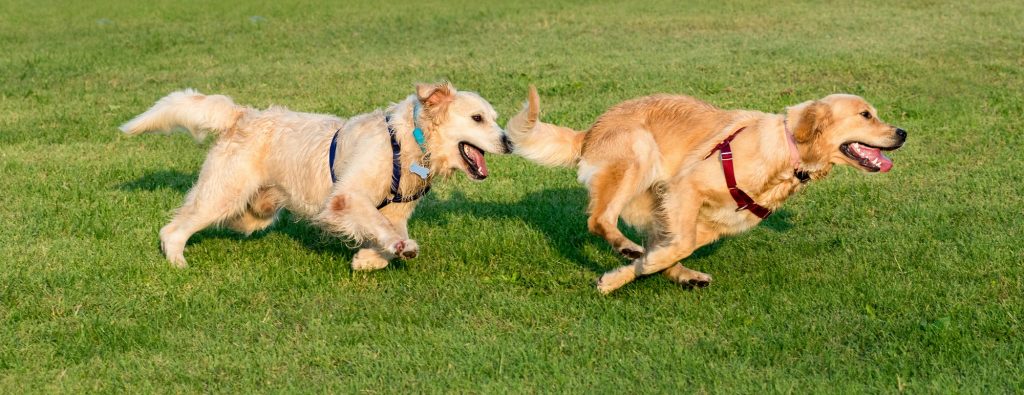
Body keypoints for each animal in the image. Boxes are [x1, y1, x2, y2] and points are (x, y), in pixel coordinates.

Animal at [122, 81, 507, 270]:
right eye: (477, 118)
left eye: (495, 118)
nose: (508, 141)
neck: (412, 142)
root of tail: (243, 115)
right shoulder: (346, 197)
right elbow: (376, 222)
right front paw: (393, 248)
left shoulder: (398, 210)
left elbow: (388, 228)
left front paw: (370, 259)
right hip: (224, 192)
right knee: (173, 228)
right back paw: (177, 262)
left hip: (256, 211)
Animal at [503, 86, 905, 292]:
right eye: (866, 115)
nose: (903, 133)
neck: (788, 151)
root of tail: (592, 129)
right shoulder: (687, 187)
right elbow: (673, 248)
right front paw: (635, 267)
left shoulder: (711, 224)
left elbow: (672, 250)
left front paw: (621, 276)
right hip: (639, 154)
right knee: (600, 219)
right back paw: (628, 248)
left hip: (654, 199)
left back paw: (677, 273)